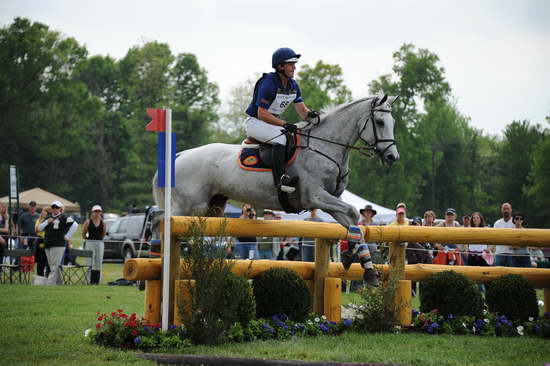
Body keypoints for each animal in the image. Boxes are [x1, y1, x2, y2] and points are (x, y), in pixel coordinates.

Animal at [155, 93, 402, 229]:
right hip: (187, 206)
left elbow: (349, 217)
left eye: (392, 122)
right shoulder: (315, 196)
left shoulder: (329, 200)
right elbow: (352, 211)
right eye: (380, 122)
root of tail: (180, 155)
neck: (326, 146)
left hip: (212, 206)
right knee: (161, 222)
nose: (392, 156)